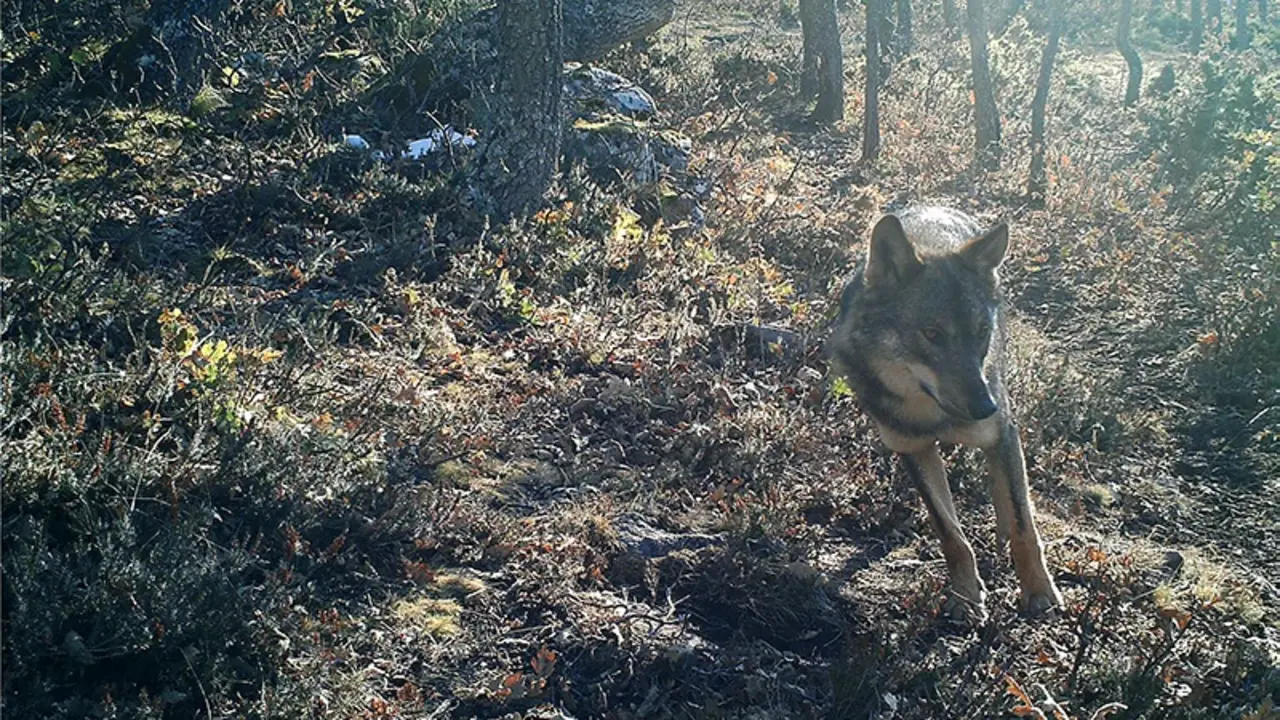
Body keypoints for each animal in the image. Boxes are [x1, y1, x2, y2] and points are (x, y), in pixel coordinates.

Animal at [830, 206, 1063, 623]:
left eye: (981, 331)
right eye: (932, 333)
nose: (985, 407)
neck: (932, 415)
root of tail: (938, 204)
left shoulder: (1002, 431)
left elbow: (1024, 525)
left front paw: (1038, 592)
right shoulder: (913, 450)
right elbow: (951, 534)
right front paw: (967, 597)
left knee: (1009, 492)